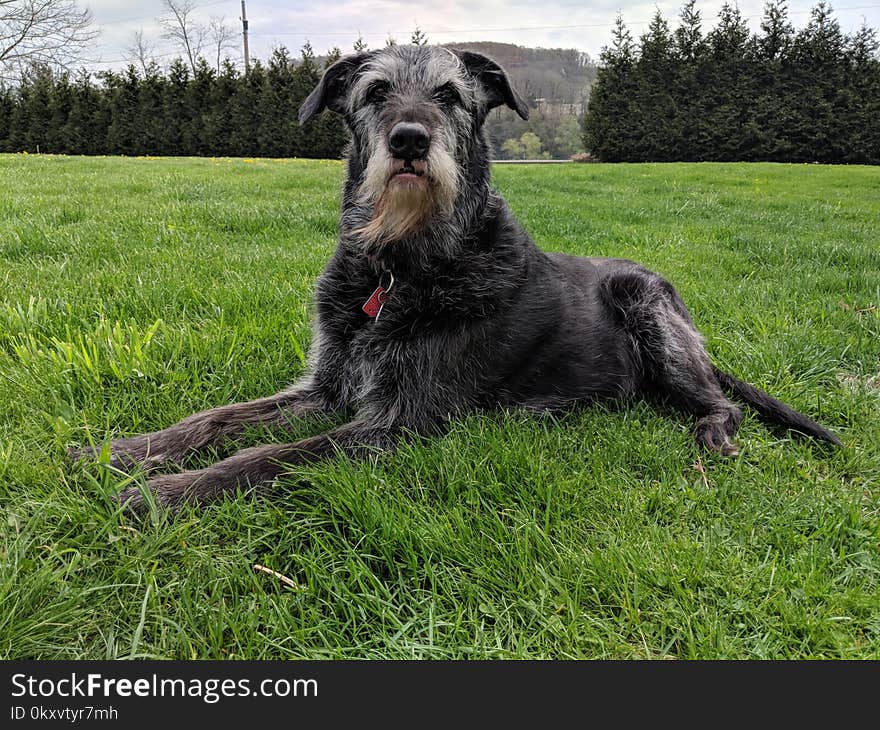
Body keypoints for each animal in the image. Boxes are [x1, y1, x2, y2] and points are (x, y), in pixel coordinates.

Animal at [70, 45, 840, 510]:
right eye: (376, 91)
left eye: (449, 94)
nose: (410, 140)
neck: (396, 266)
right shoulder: (330, 388)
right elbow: (221, 417)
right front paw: (130, 450)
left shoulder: (399, 422)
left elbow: (268, 456)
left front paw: (167, 492)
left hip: (649, 309)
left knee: (721, 402)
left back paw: (711, 433)